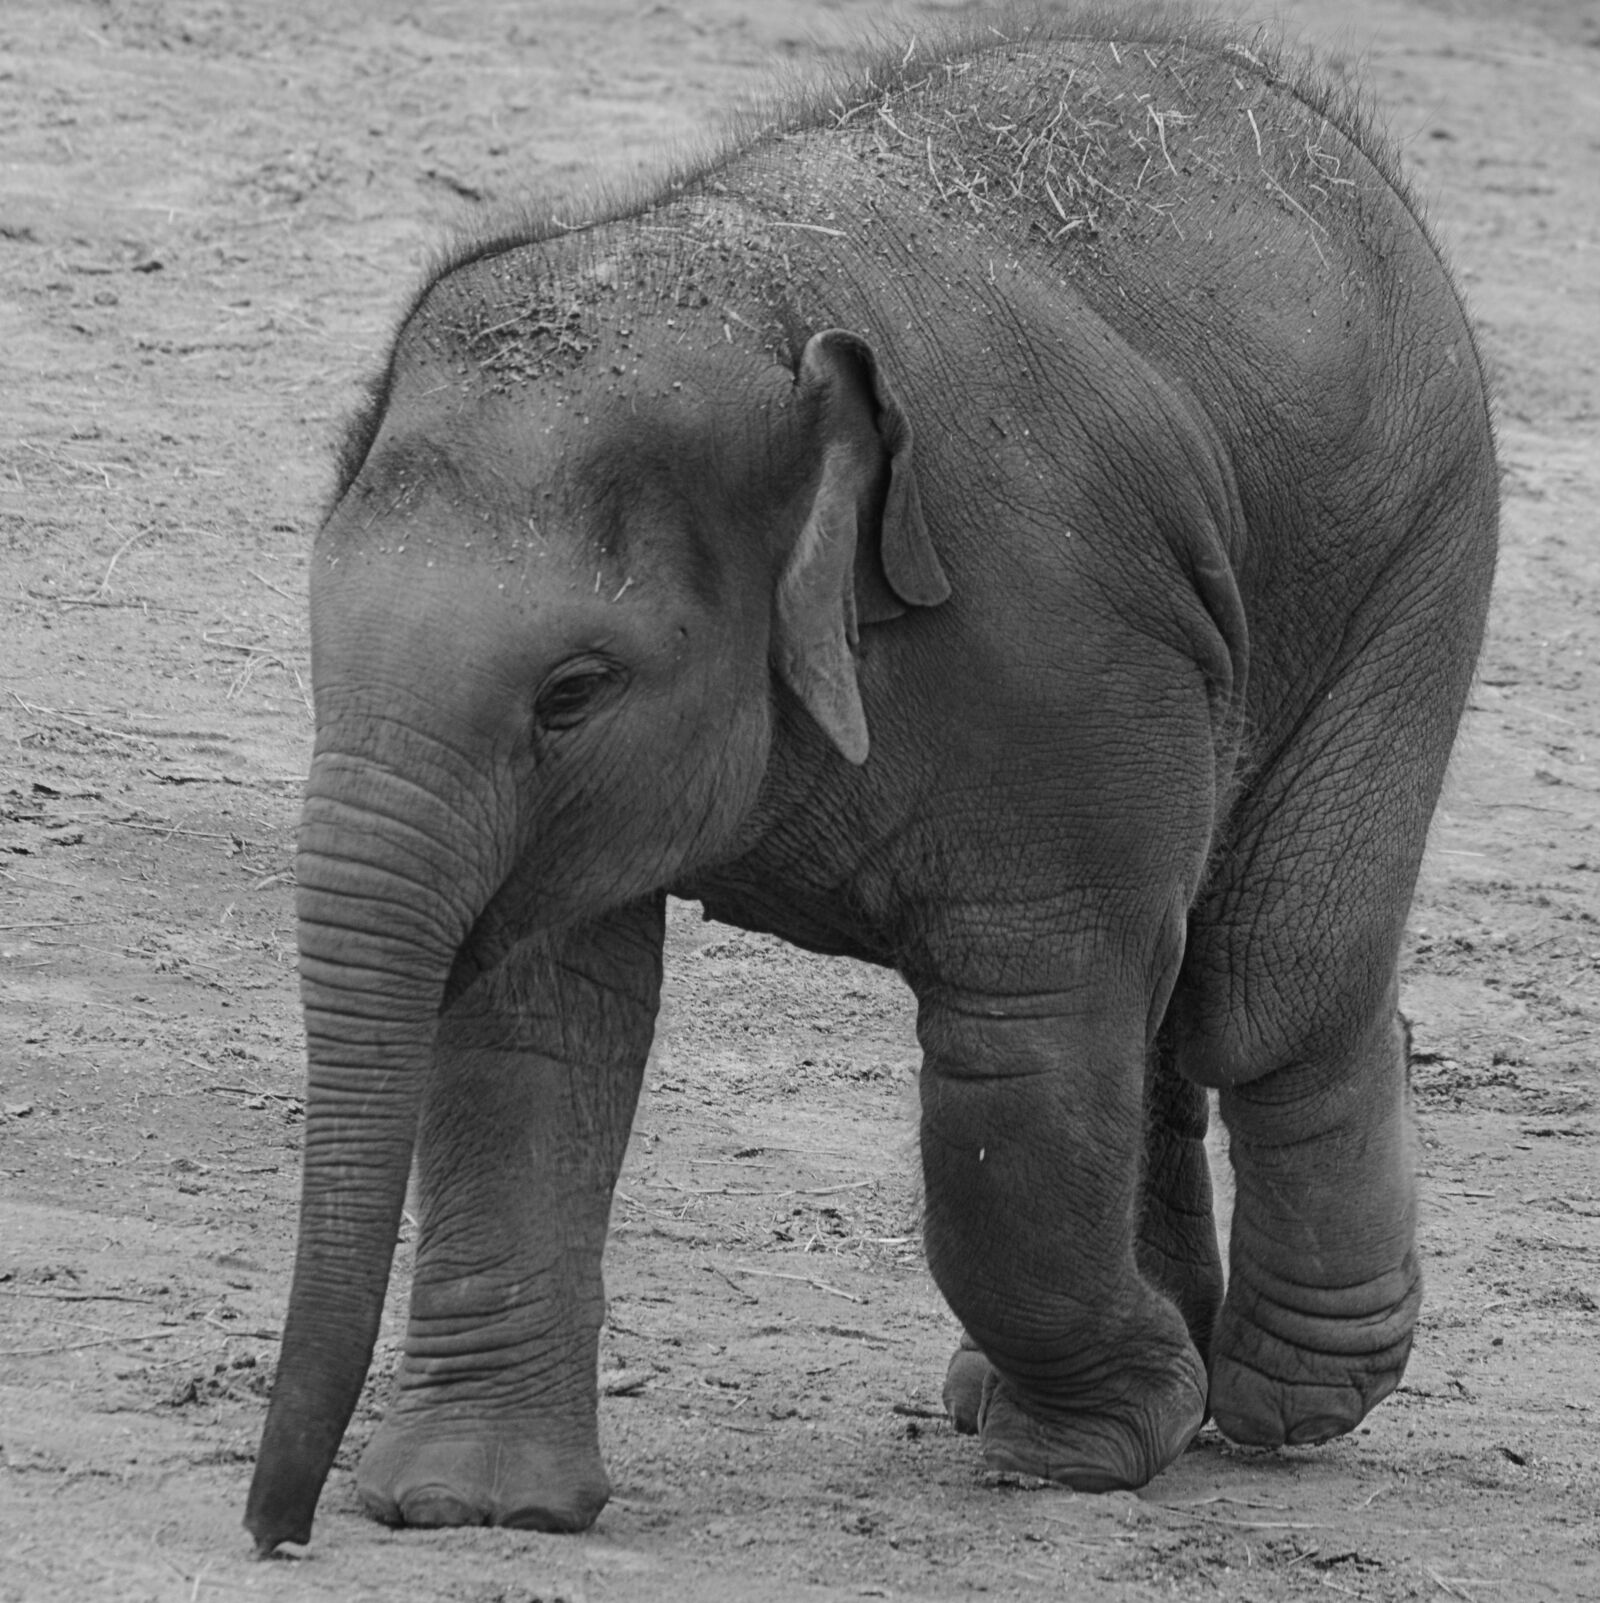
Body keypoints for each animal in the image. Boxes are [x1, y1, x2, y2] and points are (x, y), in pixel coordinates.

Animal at [244, 6, 1498, 1554]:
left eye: (571, 691)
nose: (278, 1530)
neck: (755, 323)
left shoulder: (1059, 640)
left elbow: (1019, 1055)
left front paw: (1084, 1449)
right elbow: (534, 1032)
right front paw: (474, 1507)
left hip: (1413, 558)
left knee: (1262, 986)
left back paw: (1289, 1398)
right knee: (1166, 1005)